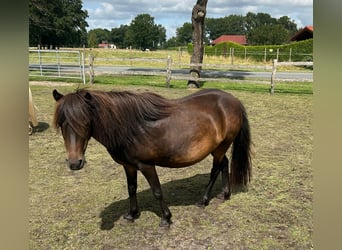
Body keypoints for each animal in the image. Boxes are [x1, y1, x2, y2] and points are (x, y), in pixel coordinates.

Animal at [52, 88, 251, 227]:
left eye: (85, 122)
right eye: (61, 124)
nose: (74, 163)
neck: (130, 128)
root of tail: (233, 101)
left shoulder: (146, 165)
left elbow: (157, 191)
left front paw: (166, 219)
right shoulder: (129, 166)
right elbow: (131, 188)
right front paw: (132, 214)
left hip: (220, 147)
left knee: (215, 169)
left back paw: (203, 200)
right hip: (217, 148)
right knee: (224, 164)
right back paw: (225, 194)